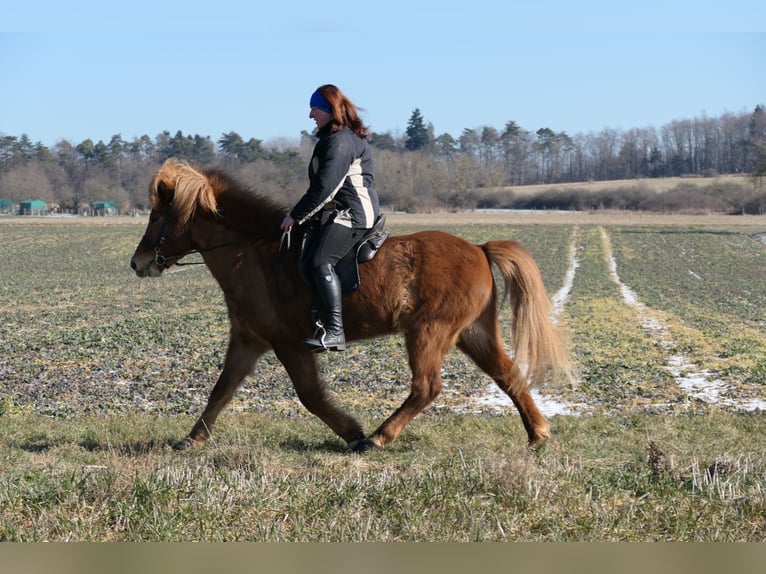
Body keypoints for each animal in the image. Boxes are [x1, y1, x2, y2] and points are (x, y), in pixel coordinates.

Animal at [129, 159, 568, 454]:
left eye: (155, 217)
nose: (138, 263)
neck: (251, 253)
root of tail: (479, 248)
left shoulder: (288, 342)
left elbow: (310, 395)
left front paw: (354, 433)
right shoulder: (248, 340)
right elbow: (221, 391)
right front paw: (191, 439)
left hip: (429, 332)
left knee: (427, 386)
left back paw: (378, 438)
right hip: (472, 332)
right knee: (507, 374)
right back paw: (538, 434)